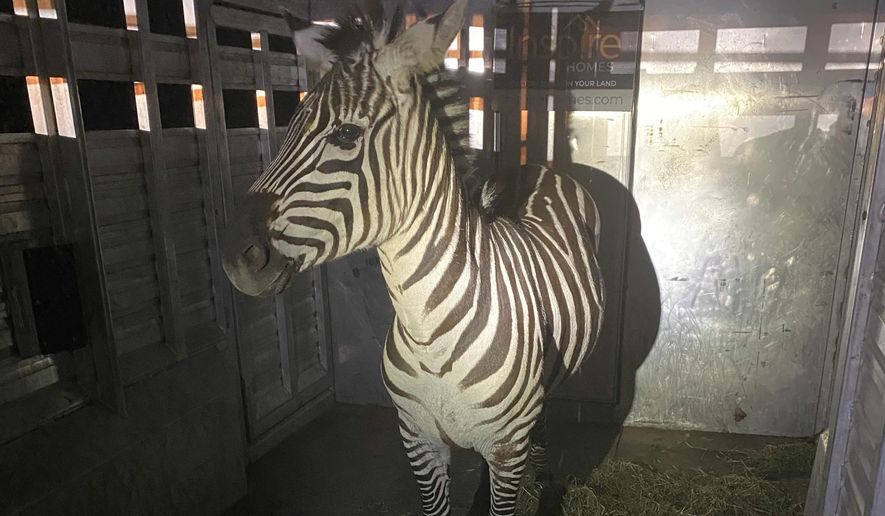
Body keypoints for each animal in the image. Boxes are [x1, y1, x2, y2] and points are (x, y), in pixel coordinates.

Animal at [221, 1, 605, 514]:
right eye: (289, 126)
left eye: (346, 134)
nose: (235, 257)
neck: (429, 335)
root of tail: (535, 167)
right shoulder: (418, 440)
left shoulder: (507, 448)